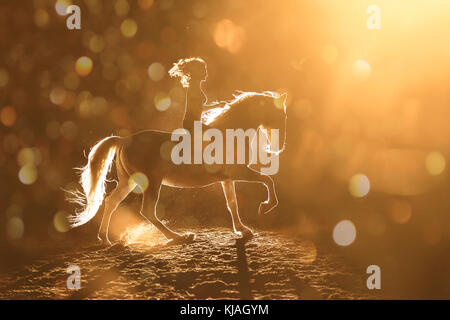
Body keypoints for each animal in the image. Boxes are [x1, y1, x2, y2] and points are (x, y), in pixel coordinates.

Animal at [69, 91, 288, 246]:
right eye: (280, 115)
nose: (279, 147)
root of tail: (124, 140)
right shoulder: (239, 172)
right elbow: (268, 181)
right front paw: (266, 207)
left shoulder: (227, 178)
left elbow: (232, 204)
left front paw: (242, 230)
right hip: (152, 182)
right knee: (147, 211)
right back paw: (179, 237)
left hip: (128, 182)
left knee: (111, 202)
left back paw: (105, 239)